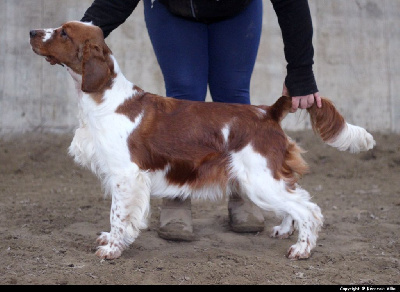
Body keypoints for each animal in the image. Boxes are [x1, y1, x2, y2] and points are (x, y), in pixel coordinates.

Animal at [29, 21, 376, 260]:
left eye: (63, 33)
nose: (32, 31)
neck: (105, 97)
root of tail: (268, 112)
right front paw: (109, 240)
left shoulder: (126, 175)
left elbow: (118, 215)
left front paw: (112, 249)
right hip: (267, 177)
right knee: (297, 197)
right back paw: (282, 230)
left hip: (259, 179)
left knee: (310, 209)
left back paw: (301, 249)